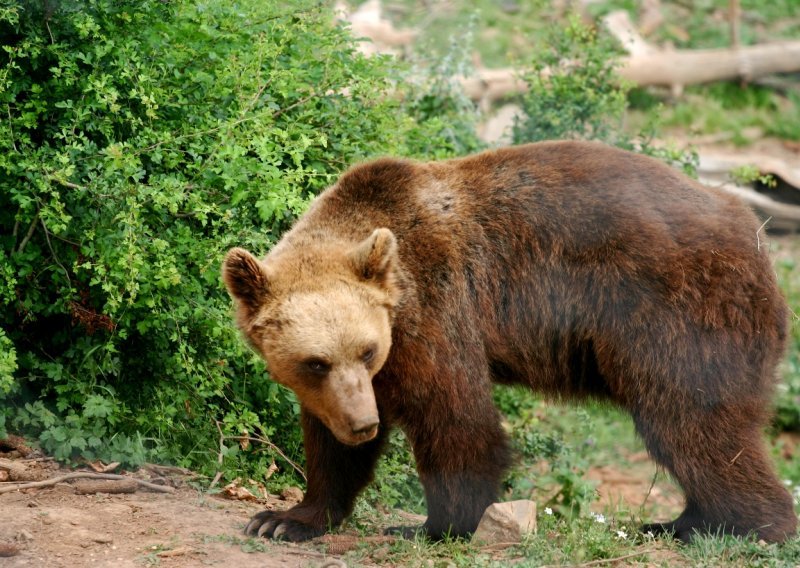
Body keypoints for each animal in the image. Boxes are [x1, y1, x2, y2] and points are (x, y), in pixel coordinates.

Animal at [222, 140, 796, 544]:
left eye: (366, 350)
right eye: (315, 362)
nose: (364, 424)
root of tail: (754, 231)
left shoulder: (436, 307)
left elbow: (456, 417)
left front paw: (433, 525)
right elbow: (328, 445)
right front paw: (285, 518)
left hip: (678, 311)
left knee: (692, 420)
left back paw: (735, 525)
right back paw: (681, 522)